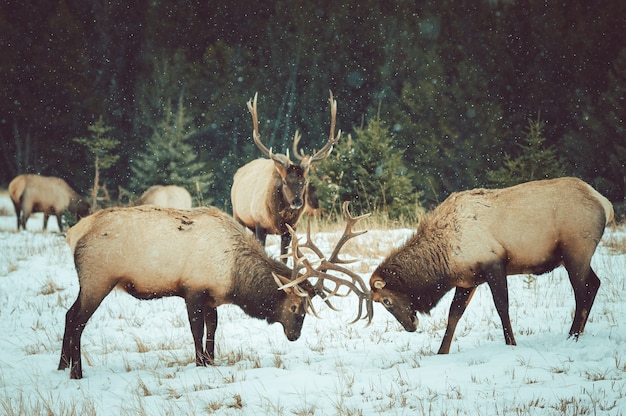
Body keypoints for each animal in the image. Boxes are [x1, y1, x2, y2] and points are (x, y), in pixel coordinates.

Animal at [57, 203, 370, 378]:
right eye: (296, 307)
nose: (294, 336)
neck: (234, 277)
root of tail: (73, 233)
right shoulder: (192, 290)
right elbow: (197, 330)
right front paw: (200, 364)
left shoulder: (212, 298)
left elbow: (213, 328)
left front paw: (211, 360)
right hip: (98, 279)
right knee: (77, 319)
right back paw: (76, 372)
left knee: (68, 314)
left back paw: (61, 366)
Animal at [230, 91, 338, 262]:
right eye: (285, 182)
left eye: (305, 182)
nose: (297, 202)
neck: (279, 218)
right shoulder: (260, 225)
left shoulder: (290, 230)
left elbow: (285, 258)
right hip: (238, 215)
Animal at [368, 177, 612, 352]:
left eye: (386, 300)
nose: (410, 326)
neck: (445, 259)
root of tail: (604, 203)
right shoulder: (467, 280)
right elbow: (454, 314)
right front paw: (441, 351)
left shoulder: (494, 264)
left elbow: (502, 306)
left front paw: (511, 344)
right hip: (576, 257)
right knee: (595, 284)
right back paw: (577, 335)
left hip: (576, 252)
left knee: (582, 291)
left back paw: (572, 336)